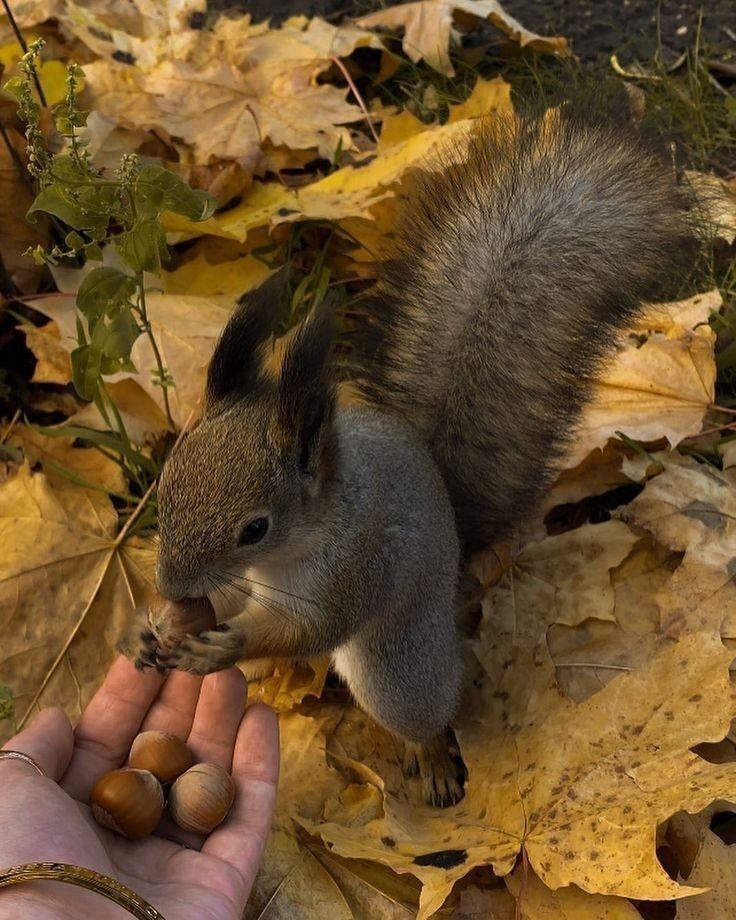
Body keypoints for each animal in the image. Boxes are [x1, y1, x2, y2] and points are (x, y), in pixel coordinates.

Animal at [128, 102, 696, 804]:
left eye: (254, 528)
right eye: (165, 485)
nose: (170, 584)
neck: (304, 538)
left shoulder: (356, 567)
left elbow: (308, 629)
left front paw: (223, 648)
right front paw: (155, 626)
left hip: (398, 665)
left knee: (424, 707)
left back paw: (432, 761)